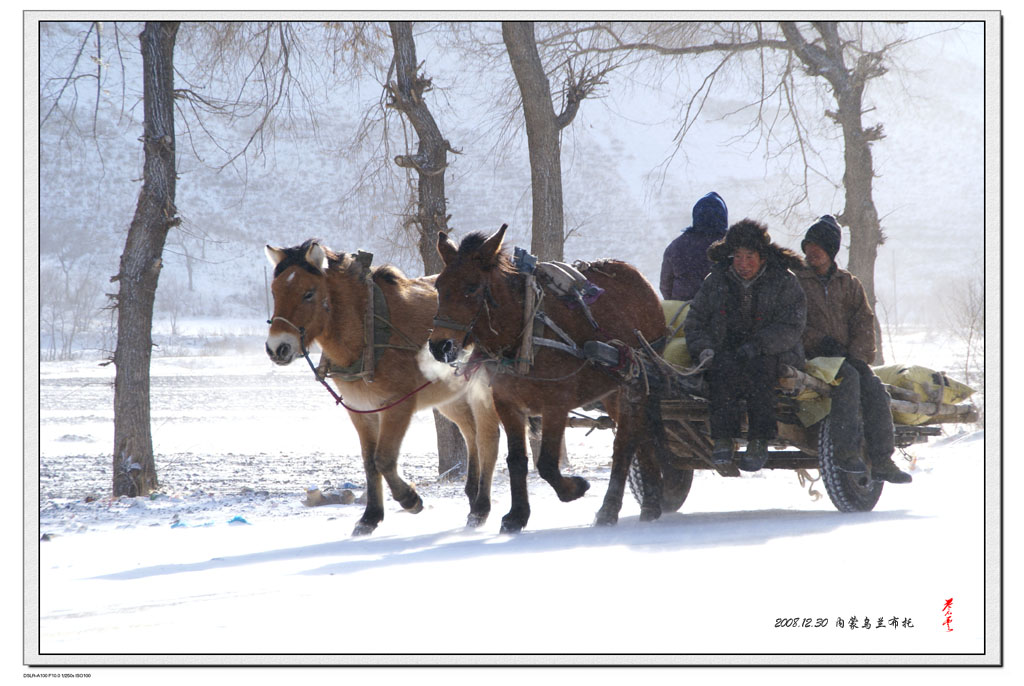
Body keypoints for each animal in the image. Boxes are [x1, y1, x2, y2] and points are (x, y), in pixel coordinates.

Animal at [266, 241, 501, 536]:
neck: (368, 331)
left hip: (484, 394)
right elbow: (369, 462)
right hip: (452, 398)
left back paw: (481, 508)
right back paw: (472, 496)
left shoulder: (397, 406)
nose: (277, 348)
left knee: (487, 440)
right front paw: (370, 517)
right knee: (471, 434)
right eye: (275, 292)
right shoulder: (360, 410)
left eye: (308, 293)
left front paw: (409, 498)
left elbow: (384, 459)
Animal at [428, 225, 667, 532]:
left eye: (471, 287)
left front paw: (574, 488)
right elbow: (517, 460)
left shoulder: (556, 404)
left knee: (625, 443)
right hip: (614, 389)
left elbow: (548, 463)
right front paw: (517, 515)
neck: (522, 337)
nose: (439, 346)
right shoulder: (506, 404)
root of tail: (639, 279)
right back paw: (651, 502)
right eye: (438, 286)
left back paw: (610, 508)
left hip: (633, 385)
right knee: (642, 435)